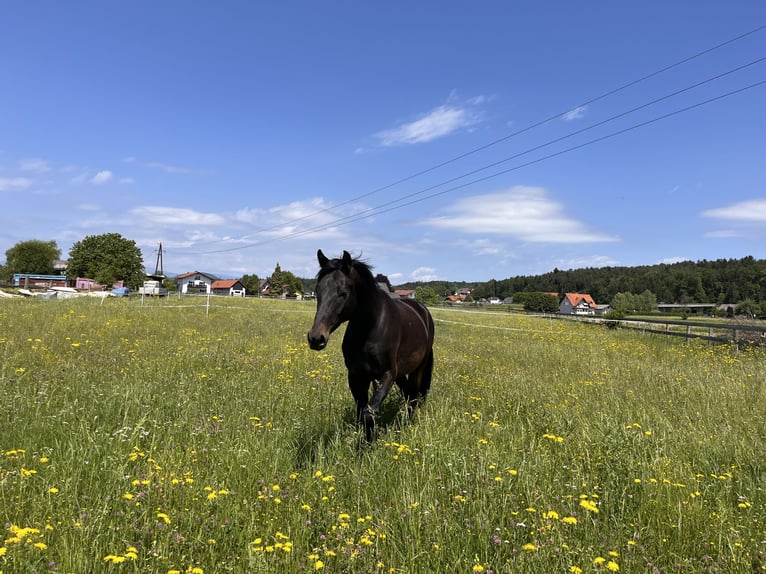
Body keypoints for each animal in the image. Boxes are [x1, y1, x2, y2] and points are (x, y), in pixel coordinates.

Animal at [308, 251, 436, 436]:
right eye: (318, 290)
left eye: (343, 292)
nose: (316, 338)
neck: (369, 330)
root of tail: (422, 310)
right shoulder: (356, 376)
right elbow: (361, 410)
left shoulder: (386, 375)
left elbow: (369, 413)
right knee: (407, 393)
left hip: (417, 369)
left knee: (413, 397)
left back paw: (407, 426)